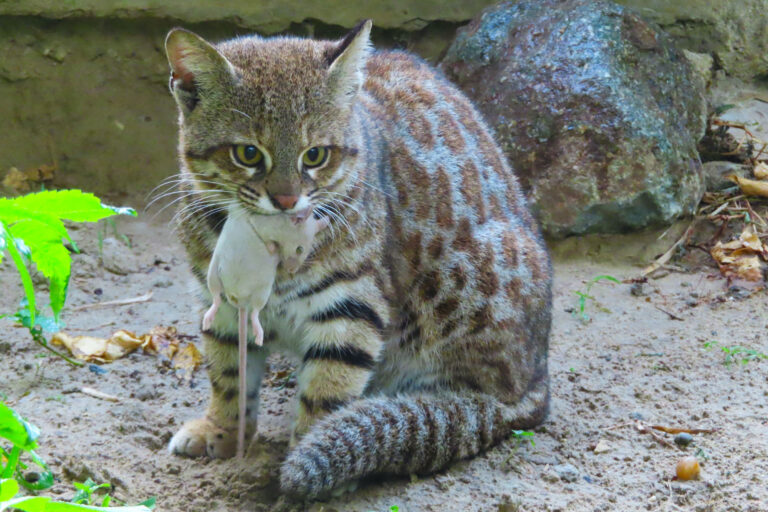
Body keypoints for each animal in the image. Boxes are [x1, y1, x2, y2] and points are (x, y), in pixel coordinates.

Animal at [162, 18, 552, 498]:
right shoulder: (221, 302)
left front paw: (307, 459)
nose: (286, 199)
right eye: (248, 153)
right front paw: (221, 429)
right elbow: (228, 377)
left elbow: (325, 395)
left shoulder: (351, 306)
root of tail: (538, 381)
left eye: (315, 155)